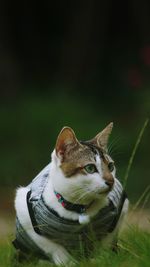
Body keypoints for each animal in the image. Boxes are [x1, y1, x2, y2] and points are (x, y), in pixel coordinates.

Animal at [12, 123, 128, 266]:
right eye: (90, 168)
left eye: (111, 166)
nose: (111, 181)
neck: (79, 207)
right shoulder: (25, 210)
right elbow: (51, 246)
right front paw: (68, 262)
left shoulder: (120, 208)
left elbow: (106, 241)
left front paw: (101, 259)